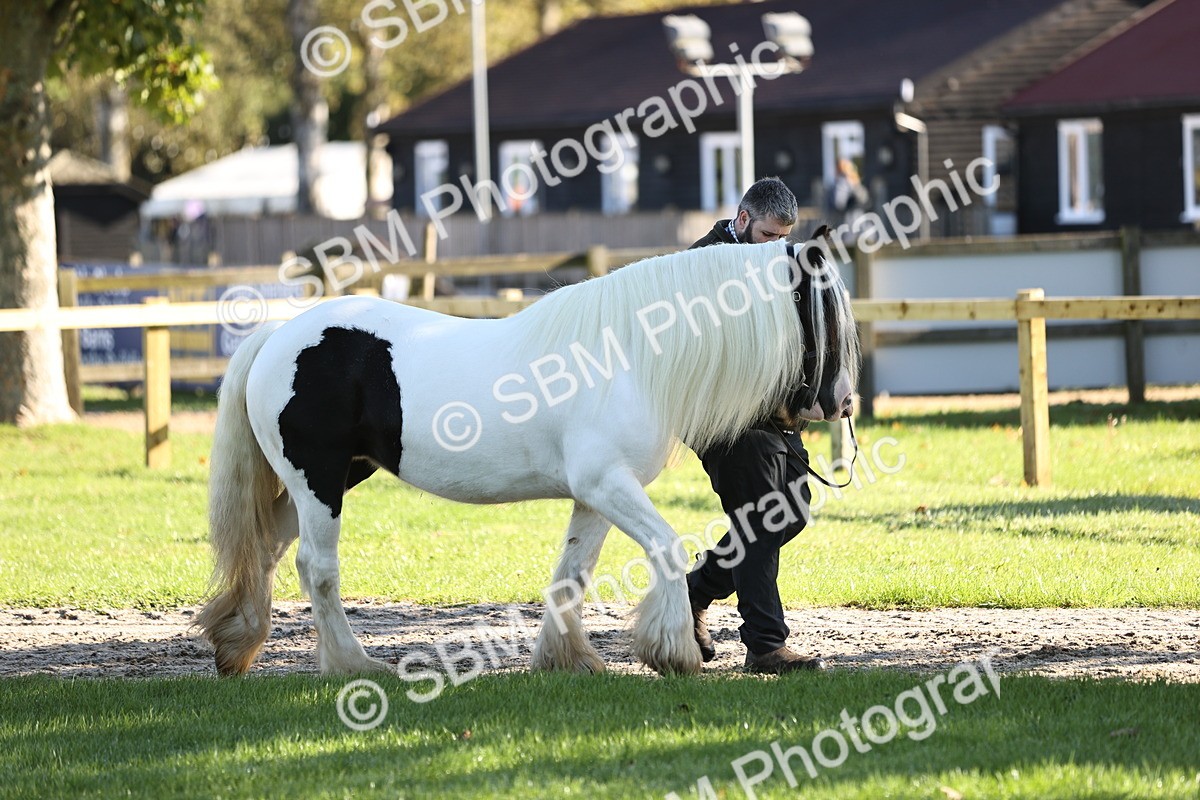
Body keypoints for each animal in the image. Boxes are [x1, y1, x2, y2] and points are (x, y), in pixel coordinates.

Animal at [195, 235, 860, 677]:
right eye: (824, 310)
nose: (842, 401)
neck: (630, 353)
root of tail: (278, 335)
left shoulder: (597, 496)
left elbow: (574, 572)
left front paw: (568, 659)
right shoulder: (608, 486)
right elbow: (668, 548)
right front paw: (672, 652)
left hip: (326, 481)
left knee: (267, 548)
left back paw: (235, 646)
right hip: (320, 481)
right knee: (317, 566)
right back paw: (354, 664)